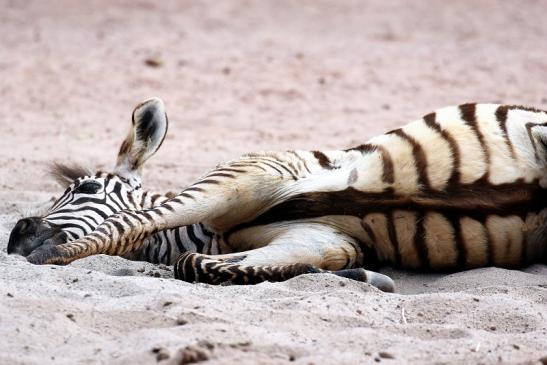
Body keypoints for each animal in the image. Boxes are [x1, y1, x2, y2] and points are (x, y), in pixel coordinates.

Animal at [7, 96, 547, 290]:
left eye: (87, 187)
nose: (14, 236)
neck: (203, 232)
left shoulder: (245, 173)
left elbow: (136, 221)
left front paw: (50, 254)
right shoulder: (323, 239)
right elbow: (199, 266)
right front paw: (362, 276)